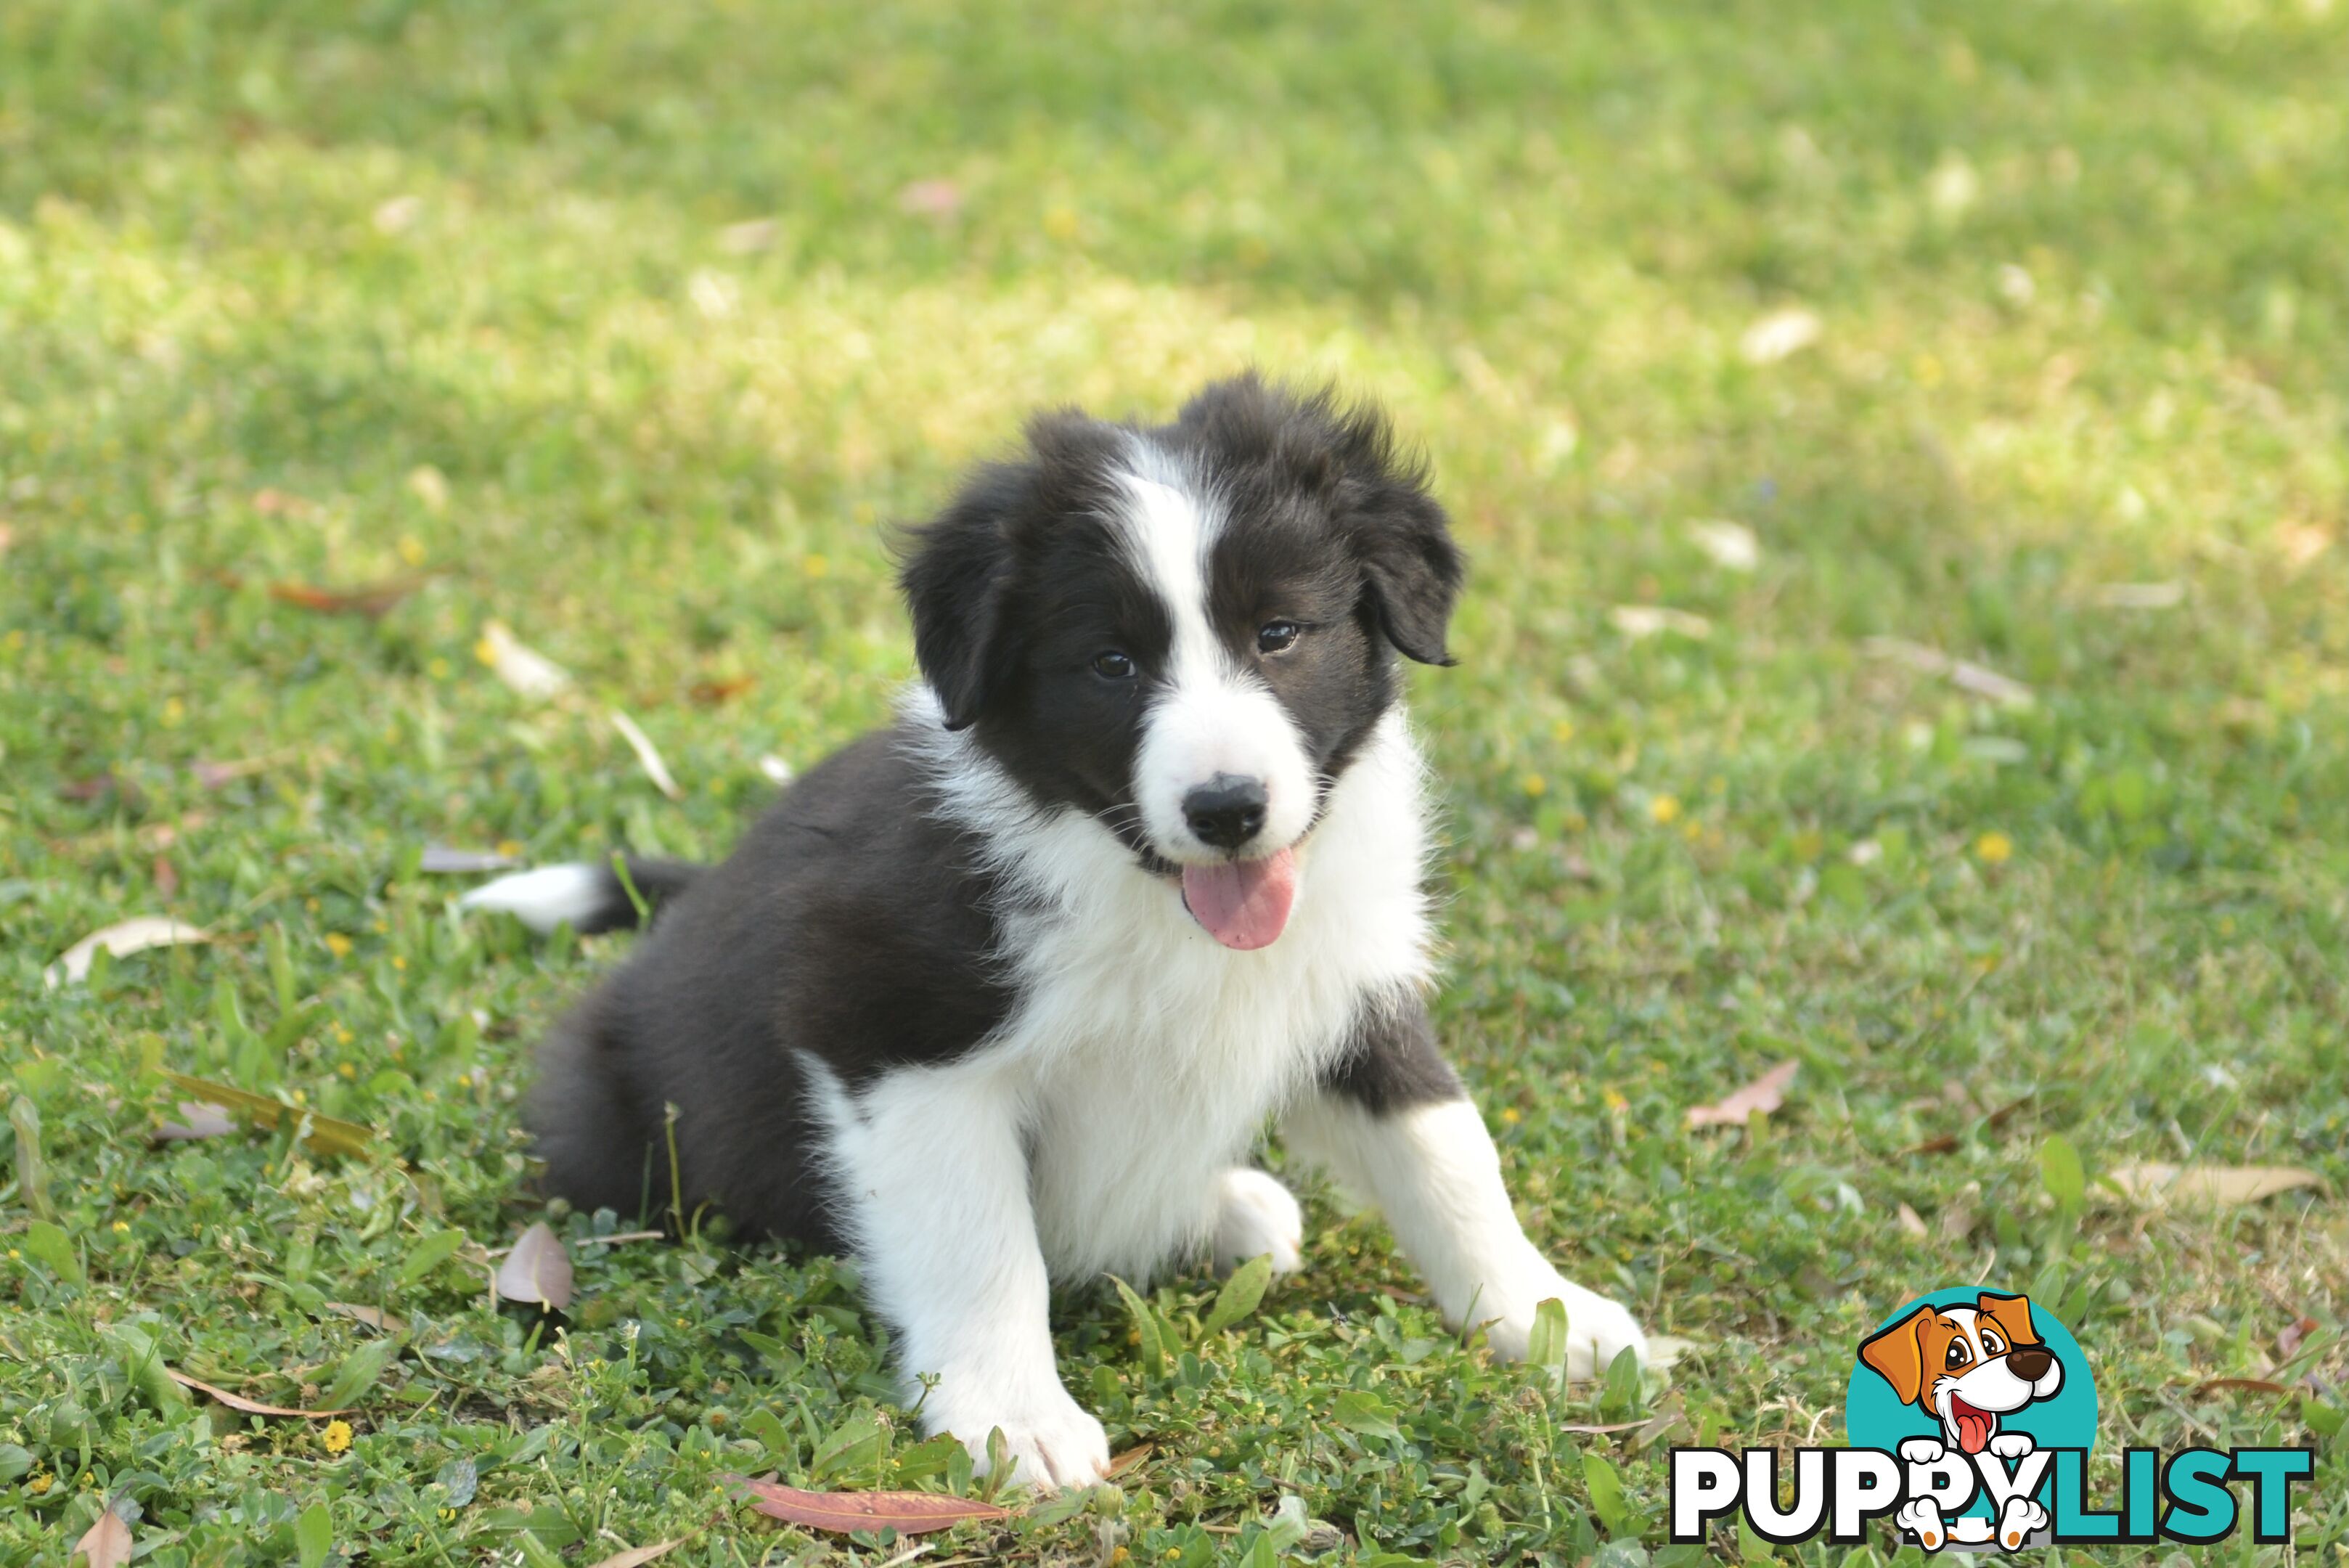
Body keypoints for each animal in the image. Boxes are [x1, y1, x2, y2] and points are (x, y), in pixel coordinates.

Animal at [462, 376, 1654, 1485]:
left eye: (1278, 634)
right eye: (1110, 664)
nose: (1228, 810)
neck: (1132, 877)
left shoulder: (1348, 982)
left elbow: (1446, 1150)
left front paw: (1548, 1316)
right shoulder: (890, 1034)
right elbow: (984, 1245)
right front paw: (1012, 1421)